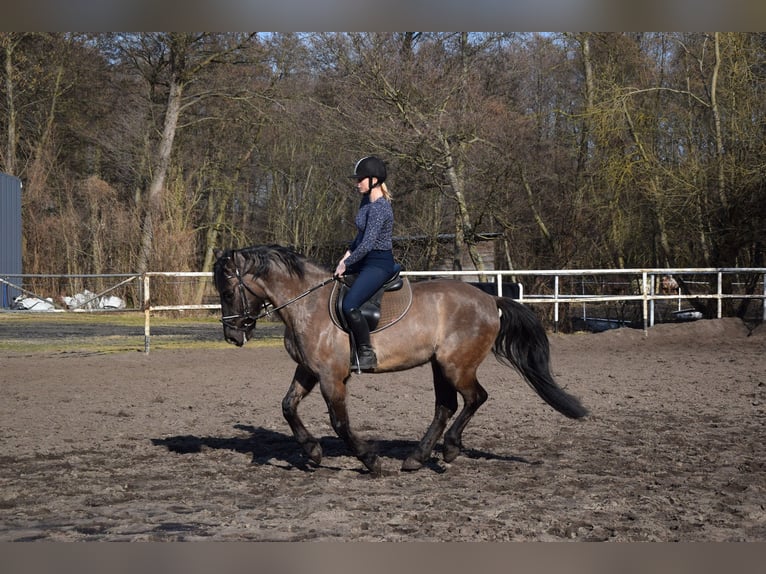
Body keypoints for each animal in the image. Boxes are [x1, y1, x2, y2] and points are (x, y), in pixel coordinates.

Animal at [213, 244, 587, 476]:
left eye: (228, 292)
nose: (232, 336)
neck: (307, 305)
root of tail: (488, 299)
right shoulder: (309, 369)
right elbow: (288, 407)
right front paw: (313, 451)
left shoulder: (332, 376)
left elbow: (340, 423)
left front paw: (369, 460)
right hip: (440, 366)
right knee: (446, 406)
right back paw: (417, 458)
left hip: (456, 365)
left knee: (474, 398)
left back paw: (449, 449)